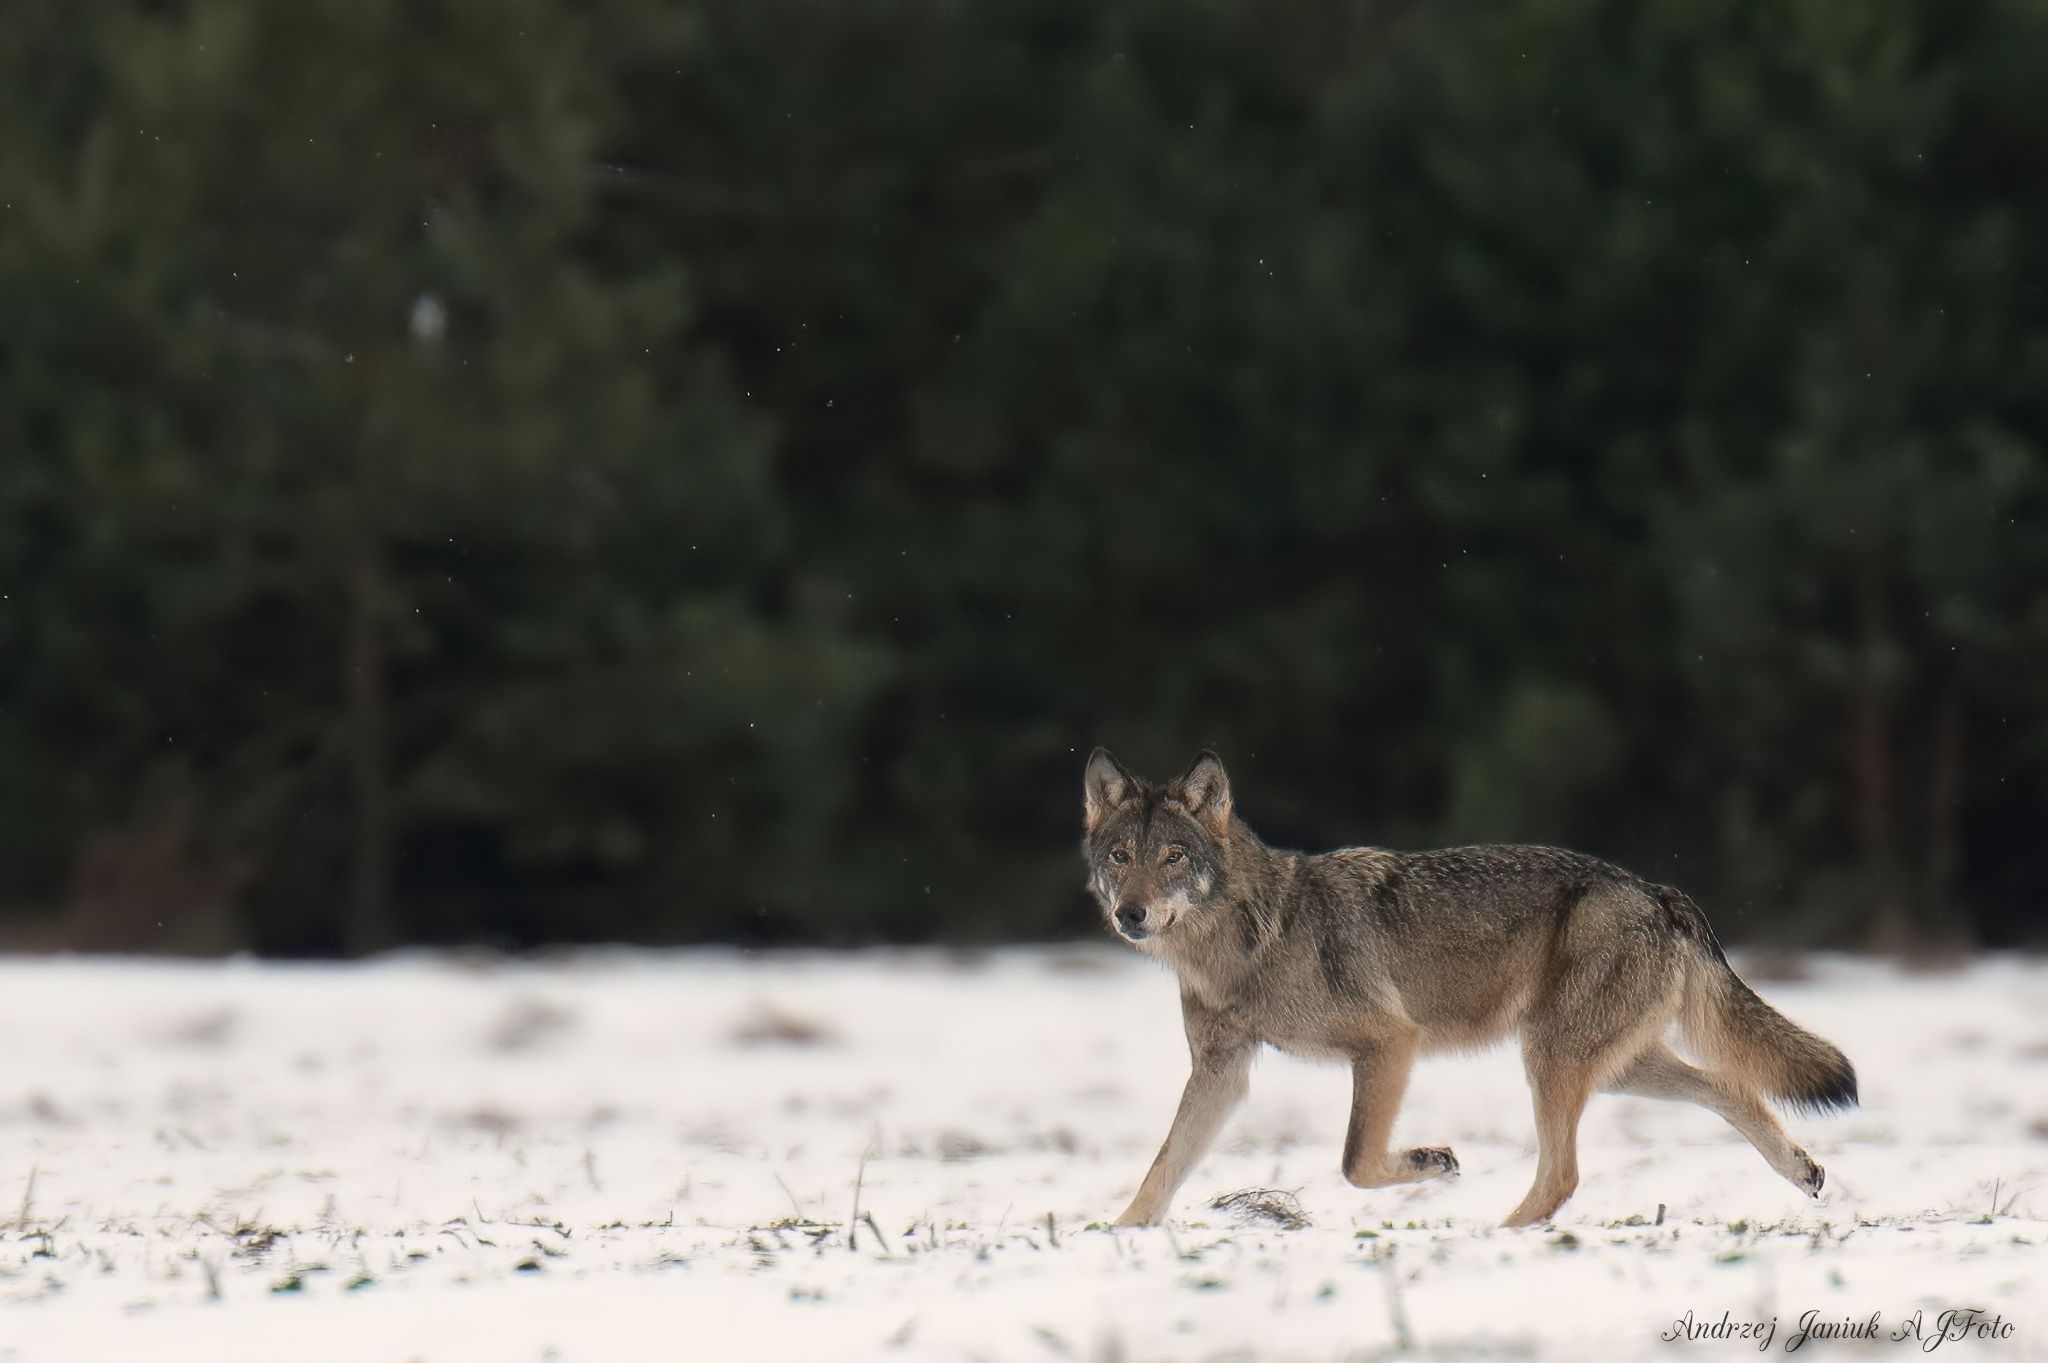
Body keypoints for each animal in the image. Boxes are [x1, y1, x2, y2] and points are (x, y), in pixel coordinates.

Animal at [1089, 749, 1859, 1227]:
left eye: (1174, 856)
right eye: (1121, 856)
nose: (1131, 914)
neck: (1250, 942)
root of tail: (1656, 891)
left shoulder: (1389, 1043)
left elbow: (1355, 1161)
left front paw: (1434, 1161)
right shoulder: (1222, 1071)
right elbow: (1162, 1168)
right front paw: (1118, 1234)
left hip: (1553, 1060)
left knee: (1563, 1175)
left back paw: (1498, 1234)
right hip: (1612, 1067)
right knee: (1729, 1088)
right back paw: (1803, 1171)